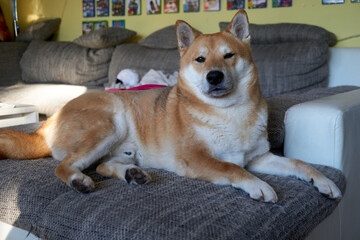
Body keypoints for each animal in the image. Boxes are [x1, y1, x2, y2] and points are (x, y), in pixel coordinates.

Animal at [0, 11, 340, 202]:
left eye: (229, 55)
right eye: (200, 59)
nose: (214, 76)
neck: (230, 114)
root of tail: (46, 125)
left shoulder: (258, 157)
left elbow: (300, 164)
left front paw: (323, 181)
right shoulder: (196, 158)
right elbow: (231, 168)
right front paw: (259, 186)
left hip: (122, 147)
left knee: (102, 166)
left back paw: (132, 175)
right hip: (109, 122)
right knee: (65, 166)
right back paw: (79, 181)